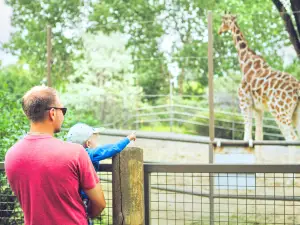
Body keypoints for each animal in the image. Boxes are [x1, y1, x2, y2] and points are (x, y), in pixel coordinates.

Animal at [218, 13, 300, 163]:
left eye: (223, 21)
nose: (219, 31)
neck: (245, 63)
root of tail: (297, 89)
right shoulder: (259, 108)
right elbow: (259, 138)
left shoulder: (244, 103)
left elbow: (247, 136)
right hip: (295, 112)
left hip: (280, 112)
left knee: (292, 139)